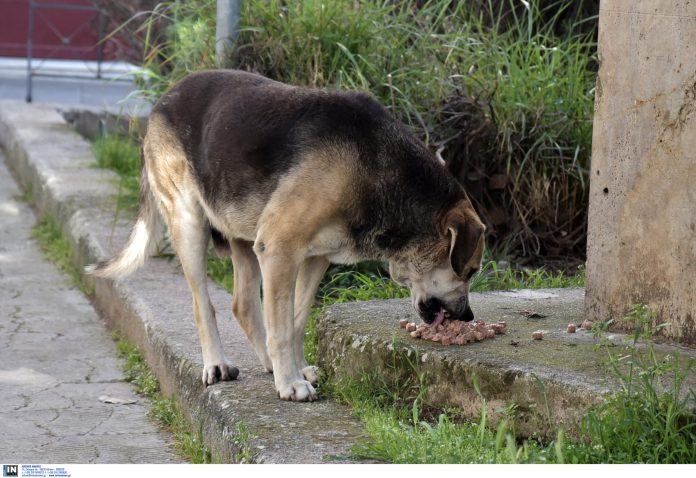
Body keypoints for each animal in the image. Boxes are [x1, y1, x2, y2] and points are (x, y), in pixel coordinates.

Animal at [87, 69, 486, 402]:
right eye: (470, 271)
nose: (467, 317)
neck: (376, 169)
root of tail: (164, 98)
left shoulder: (314, 257)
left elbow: (294, 321)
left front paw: (294, 370)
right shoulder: (279, 248)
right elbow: (280, 326)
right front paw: (290, 384)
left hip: (244, 236)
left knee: (244, 305)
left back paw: (267, 362)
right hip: (190, 224)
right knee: (204, 304)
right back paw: (217, 364)